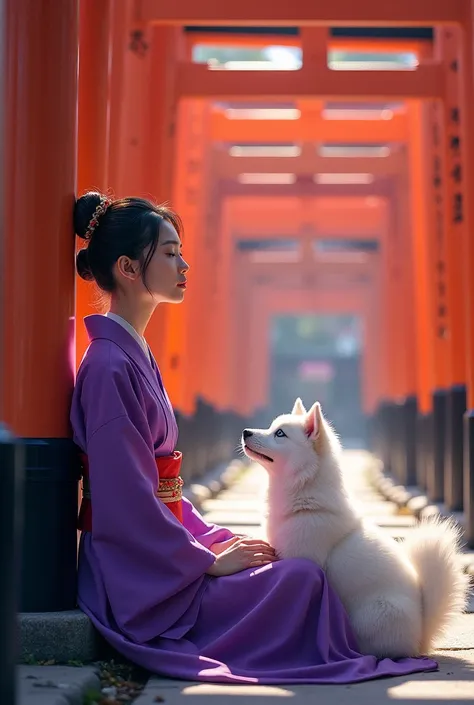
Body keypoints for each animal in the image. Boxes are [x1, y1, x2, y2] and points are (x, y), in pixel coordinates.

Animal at [243, 398, 468, 656]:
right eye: (272, 427)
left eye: (280, 434)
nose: (246, 432)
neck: (306, 502)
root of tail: (421, 636)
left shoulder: (299, 560)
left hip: (370, 616)